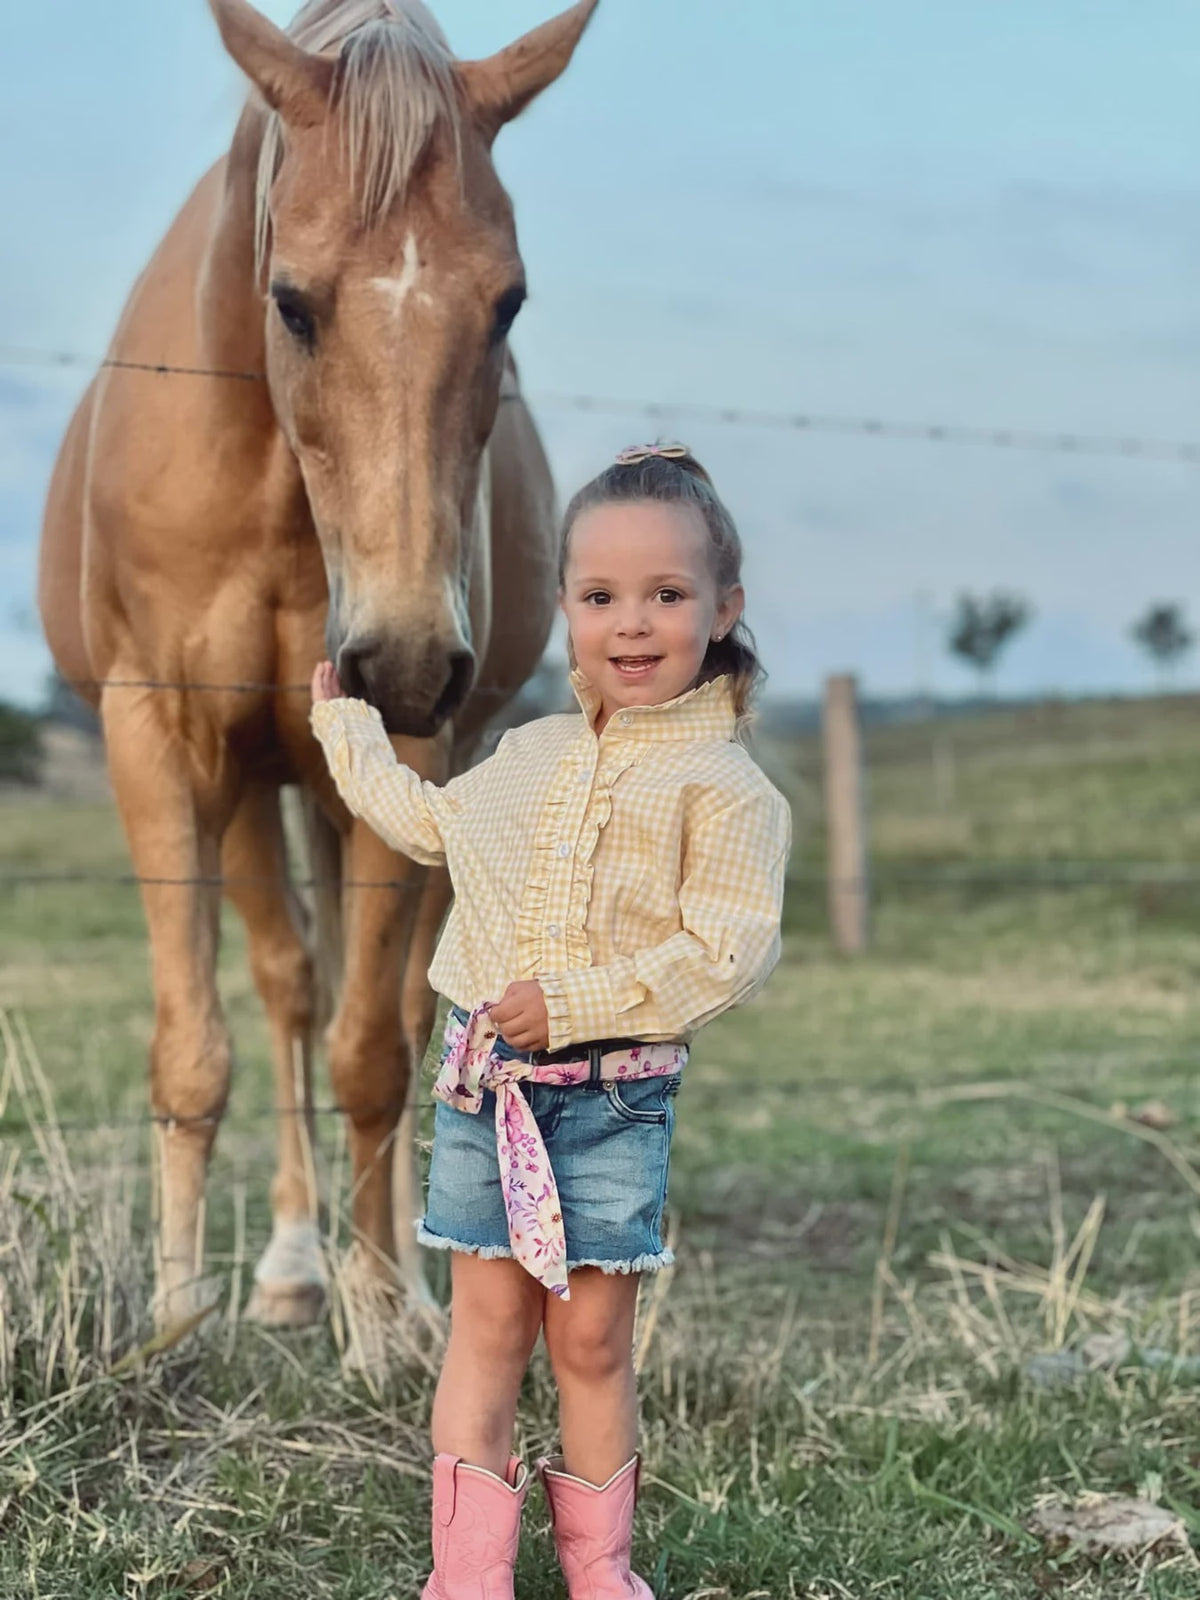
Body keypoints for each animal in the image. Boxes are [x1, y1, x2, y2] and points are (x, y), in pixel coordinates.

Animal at [37, 0, 601, 1324]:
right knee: (292, 980)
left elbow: (374, 1051)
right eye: (290, 301)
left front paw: (386, 1319)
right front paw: (174, 1314)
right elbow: (198, 1048)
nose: (399, 657)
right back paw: (295, 1264)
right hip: (251, 782)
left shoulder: (414, 750)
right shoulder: (161, 739)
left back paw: (394, 1271)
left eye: (508, 302)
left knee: (390, 1003)